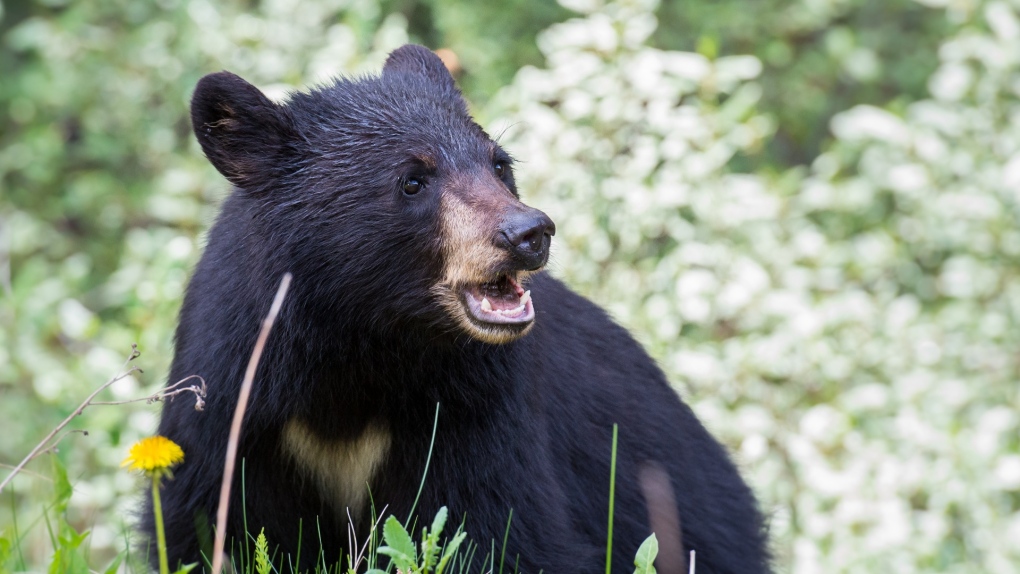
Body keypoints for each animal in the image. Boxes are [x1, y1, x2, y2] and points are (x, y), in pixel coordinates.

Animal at [141, 46, 767, 574]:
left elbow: (500, 530)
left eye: (500, 164)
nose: (528, 233)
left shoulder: (474, 406)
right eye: (413, 180)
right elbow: (206, 526)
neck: (357, 344)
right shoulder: (235, 402)